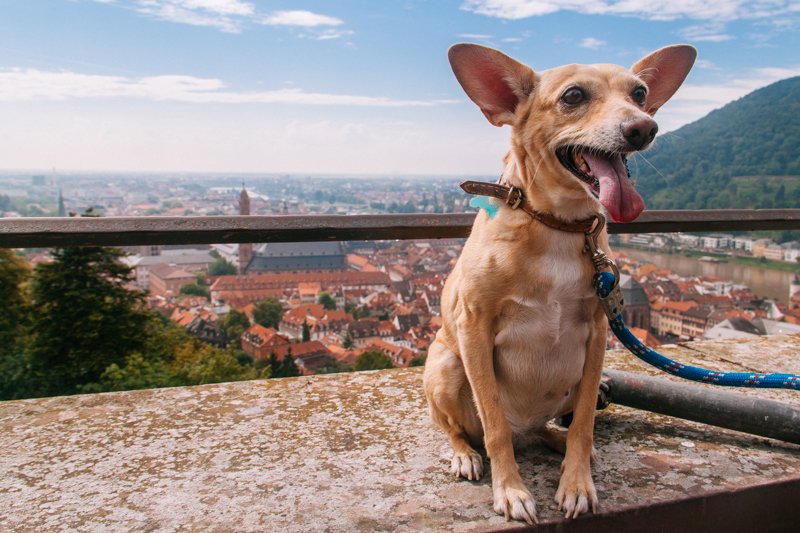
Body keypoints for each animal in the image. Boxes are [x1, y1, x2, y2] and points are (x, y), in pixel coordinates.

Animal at [424, 43, 692, 520]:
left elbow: (584, 420)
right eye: (573, 96)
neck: (560, 225)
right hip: (446, 366)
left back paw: (560, 443)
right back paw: (466, 454)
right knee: (471, 430)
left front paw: (577, 480)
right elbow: (494, 424)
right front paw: (510, 490)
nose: (643, 127)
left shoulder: (598, 332)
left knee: (552, 426)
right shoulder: (474, 327)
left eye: (640, 94)